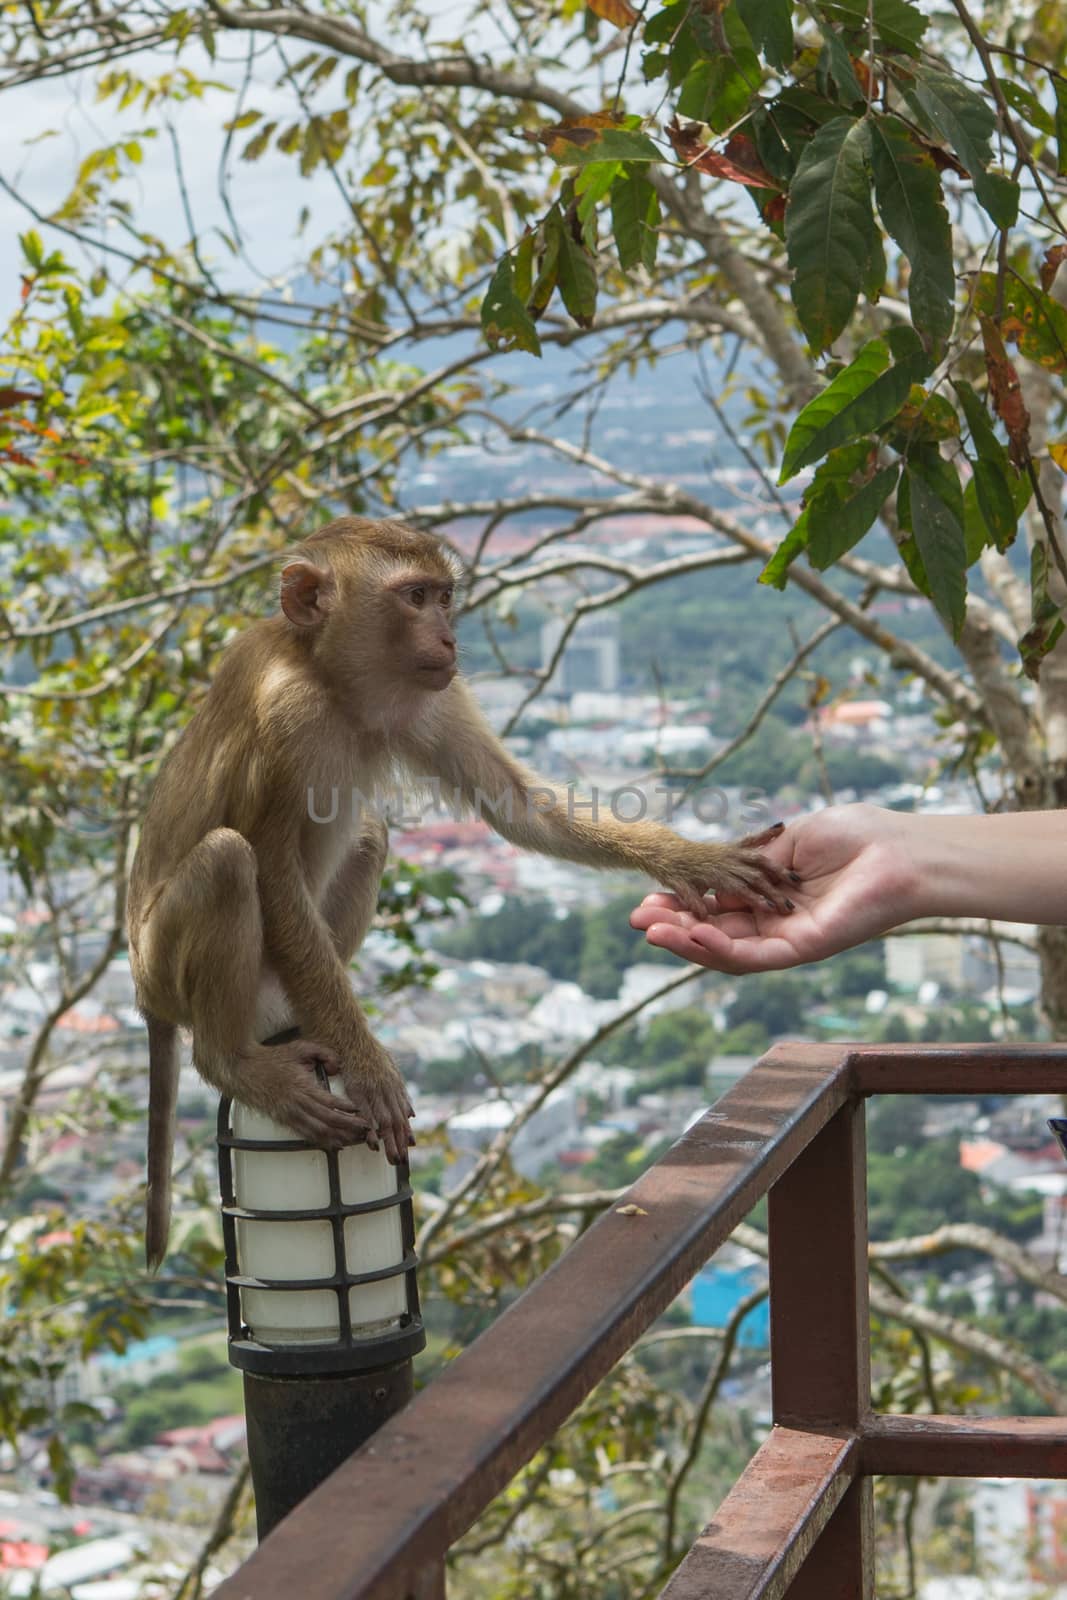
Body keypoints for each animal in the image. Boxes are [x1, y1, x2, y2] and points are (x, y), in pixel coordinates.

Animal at [125, 518, 793, 1267]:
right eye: (415, 597)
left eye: (443, 597)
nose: (448, 639)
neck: (328, 679)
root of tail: (145, 994)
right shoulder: (284, 716)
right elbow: (270, 868)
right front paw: (370, 1069)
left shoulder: (434, 694)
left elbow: (520, 807)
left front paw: (692, 859)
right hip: (167, 961)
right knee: (227, 860)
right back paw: (235, 1061)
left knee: (367, 833)